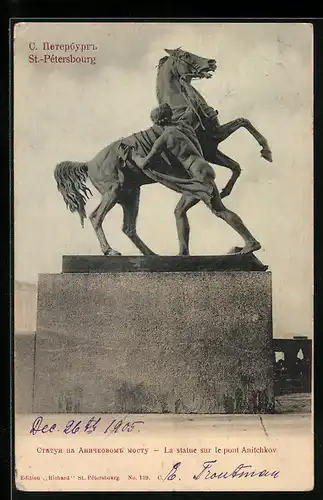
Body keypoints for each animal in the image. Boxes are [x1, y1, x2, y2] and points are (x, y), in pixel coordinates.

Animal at [54, 47, 272, 256]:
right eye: (186, 55)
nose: (211, 62)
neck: (179, 110)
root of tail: (89, 163)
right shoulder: (209, 146)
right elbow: (242, 127)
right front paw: (266, 151)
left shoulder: (211, 147)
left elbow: (238, 153)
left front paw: (234, 182)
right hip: (113, 191)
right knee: (96, 217)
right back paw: (110, 251)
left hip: (130, 195)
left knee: (129, 228)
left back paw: (152, 255)